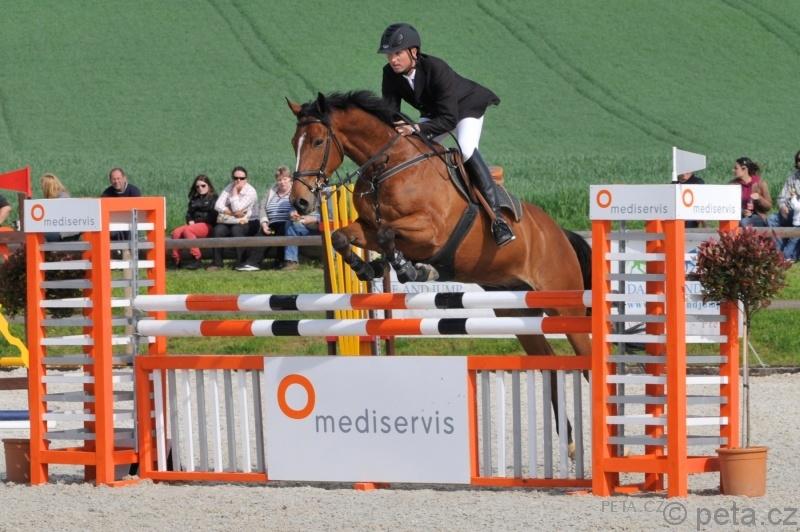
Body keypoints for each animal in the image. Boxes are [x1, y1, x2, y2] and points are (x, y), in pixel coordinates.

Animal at [288, 91, 592, 455]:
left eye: (318, 141)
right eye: (294, 142)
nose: (299, 203)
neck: (386, 167)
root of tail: (559, 233)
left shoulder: (430, 231)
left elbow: (389, 233)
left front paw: (414, 269)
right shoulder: (366, 226)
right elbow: (343, 236)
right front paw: (367, 266)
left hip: (565, 306)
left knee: (587, 358)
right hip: (517, 312)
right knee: (548, 363)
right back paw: (570, 442)